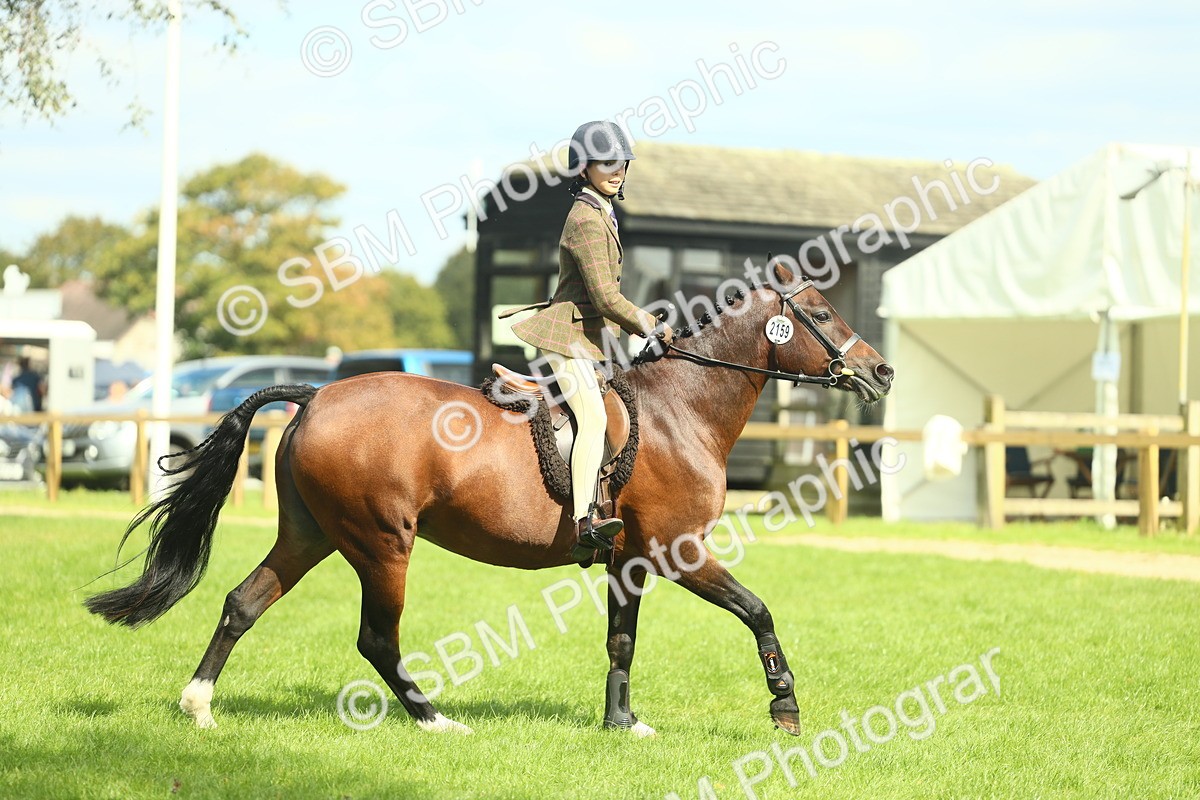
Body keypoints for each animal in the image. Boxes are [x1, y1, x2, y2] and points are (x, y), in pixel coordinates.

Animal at [85, 261, 894, 737]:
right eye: (822, 311)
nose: (880, 372)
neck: (680, 411)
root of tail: (316, 394)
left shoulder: (629, 561)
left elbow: (622, 641)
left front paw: (621, 722)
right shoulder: (680, 551)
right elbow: (758, 611)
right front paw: (785, 705)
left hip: (311, 534)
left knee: (242, 603)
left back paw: (198, 705)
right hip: (383, 544)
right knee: (377, 639)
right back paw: (433, 718)